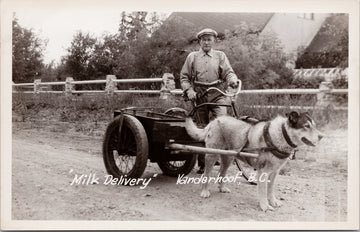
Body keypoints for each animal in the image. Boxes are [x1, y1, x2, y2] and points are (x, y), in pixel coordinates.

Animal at [186, 111, 324, 211]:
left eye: (314, 125)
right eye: (306, 126)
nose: (322, 136)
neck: (279, 137)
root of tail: (215, 120)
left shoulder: (274, 173)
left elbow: (270, 189)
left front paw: (273, 202)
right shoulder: (263, 172)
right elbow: (263, 191)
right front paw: (265, 206)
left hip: (228, 157)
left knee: (222, 173)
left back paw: (222, 188)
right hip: (211, 155)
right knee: (207, 174)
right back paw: (204, 191)